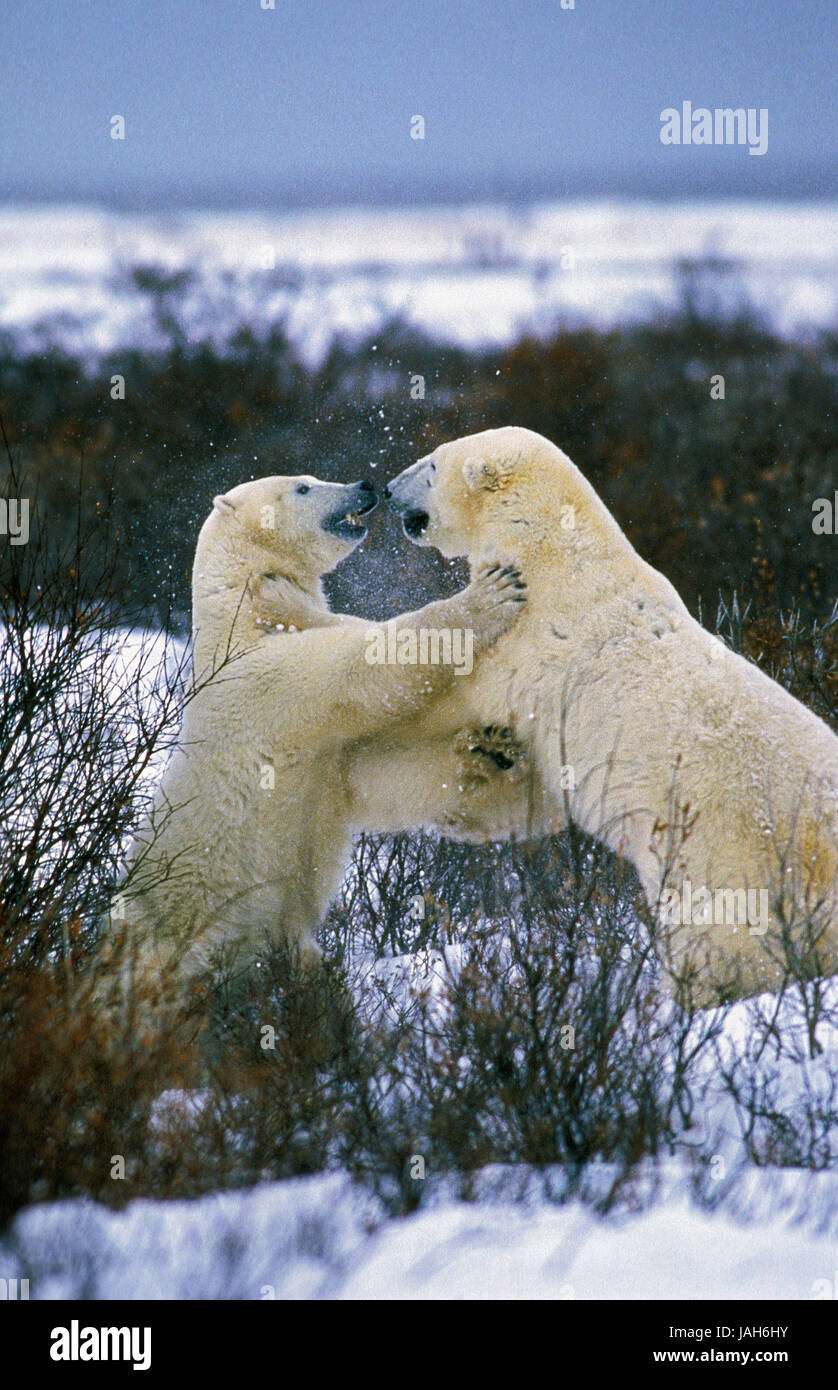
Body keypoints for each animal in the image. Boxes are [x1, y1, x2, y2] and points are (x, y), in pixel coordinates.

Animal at [118, 472, 528, 984]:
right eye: (302, 488)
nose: (364, 484)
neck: (245, 613)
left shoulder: (331, 761)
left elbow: (386, 777)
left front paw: (488, 749)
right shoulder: (270, 684)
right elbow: (362, 669)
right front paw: (491, 594)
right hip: (178, 933)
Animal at [386, 422, 838, 1000]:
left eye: (432, 465)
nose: (388, 489)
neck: (553, 553)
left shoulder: (528, 646)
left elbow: (451, 692)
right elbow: (535, 794)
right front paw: (485, 768)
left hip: (722, 861)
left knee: (715, 945)